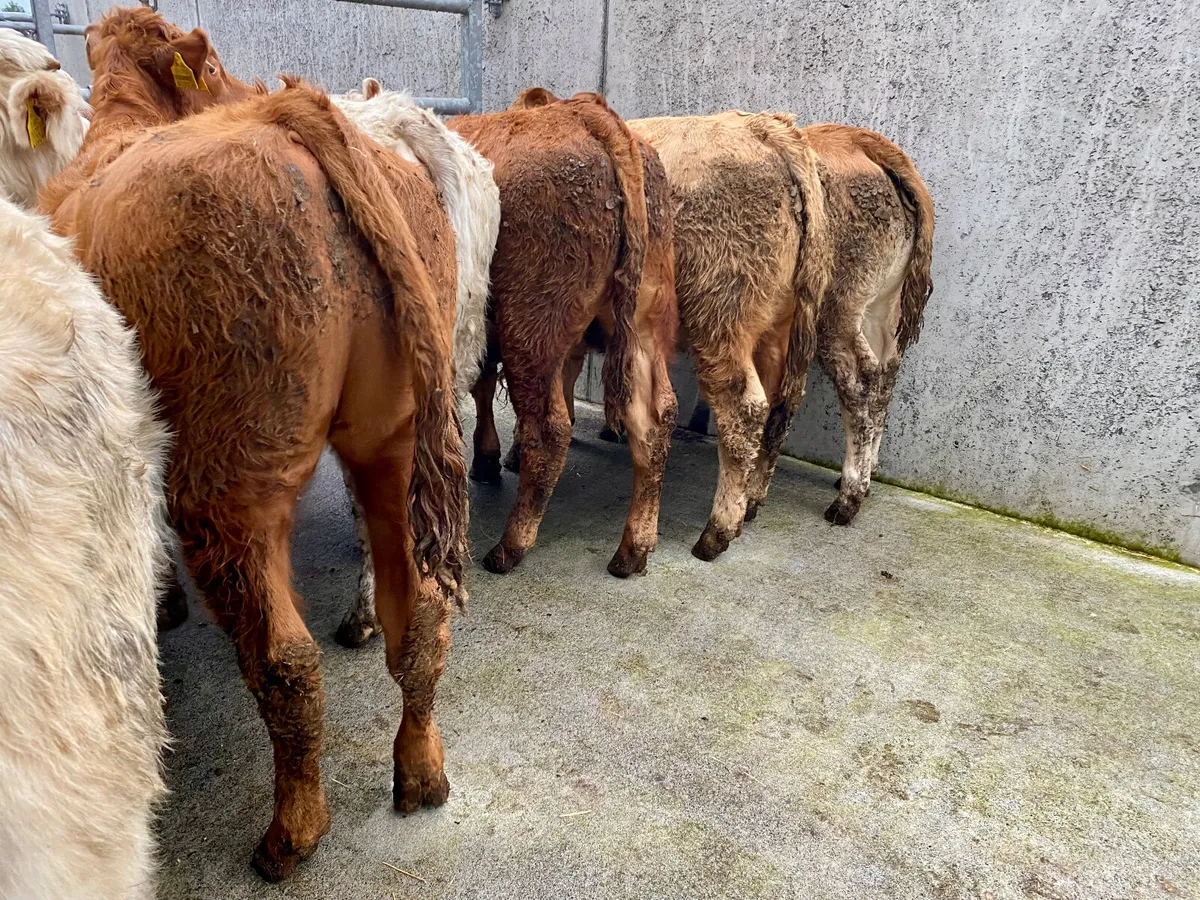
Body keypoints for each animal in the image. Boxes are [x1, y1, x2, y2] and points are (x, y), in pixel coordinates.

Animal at [42, 8, 468, 882]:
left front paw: (163, 605)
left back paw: (291, 834)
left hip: (227, 483)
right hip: (396, 443)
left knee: (285, 661)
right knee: (418, 617)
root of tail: (291, 114)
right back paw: (421, 773)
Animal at [447, 87, 679, 578]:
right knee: (656, 417)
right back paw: (633, 549)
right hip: (642, 323)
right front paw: (491, 458)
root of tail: (586, 113)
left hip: (530, 330)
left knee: (551, 428)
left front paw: (489, 458)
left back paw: (509, 547)